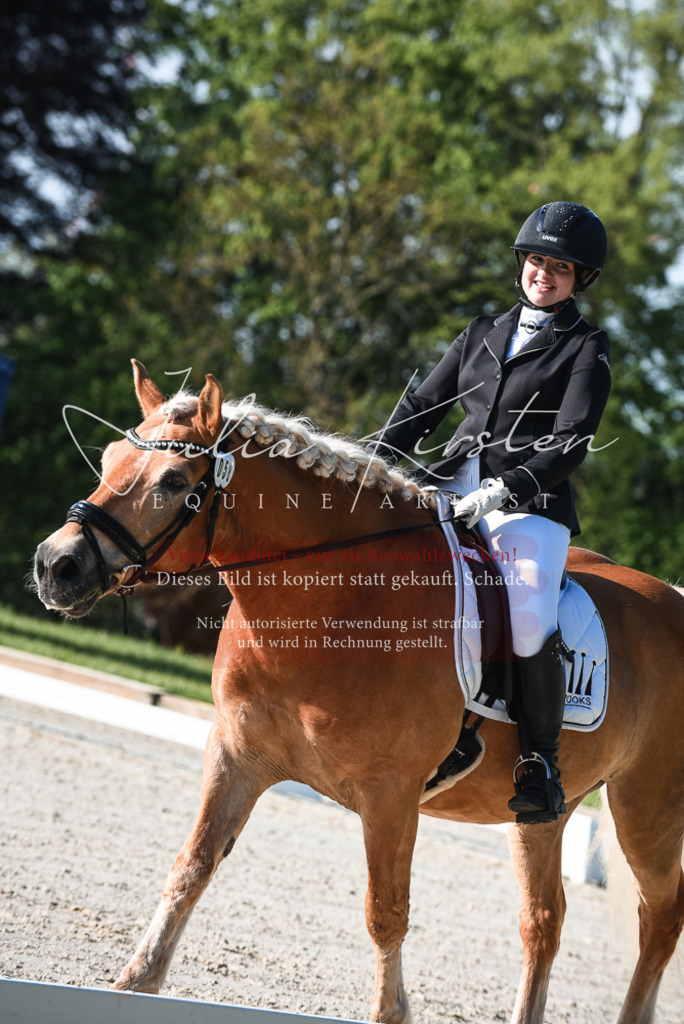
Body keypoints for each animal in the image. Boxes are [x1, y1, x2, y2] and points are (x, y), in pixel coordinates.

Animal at [33, 360, 684, 1024]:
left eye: (170, 480)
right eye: (108, 458)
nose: (55, 566)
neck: (330, 599)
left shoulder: (389, 794)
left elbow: (385, 914)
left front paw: (392, 1008)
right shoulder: (237, 755)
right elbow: (190, 869)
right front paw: (133, 982)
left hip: (648, 809)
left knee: (660, 918)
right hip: (543, 813)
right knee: (543, 922)